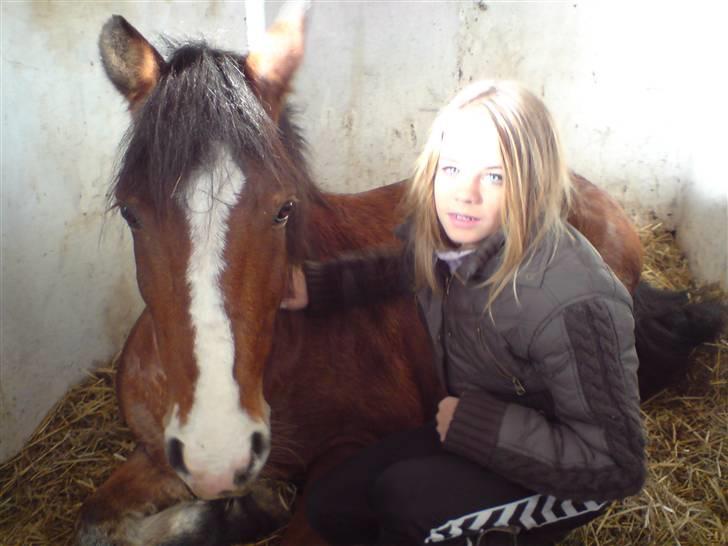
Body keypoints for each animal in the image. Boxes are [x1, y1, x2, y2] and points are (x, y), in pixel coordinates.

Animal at [77, 5, 724, 544]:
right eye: (131, 212)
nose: (220, 452)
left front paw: (249, 511)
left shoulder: (348, 450)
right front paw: (232, 512)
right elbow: (95, 519)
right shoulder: (160, 451)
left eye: (284, 208)